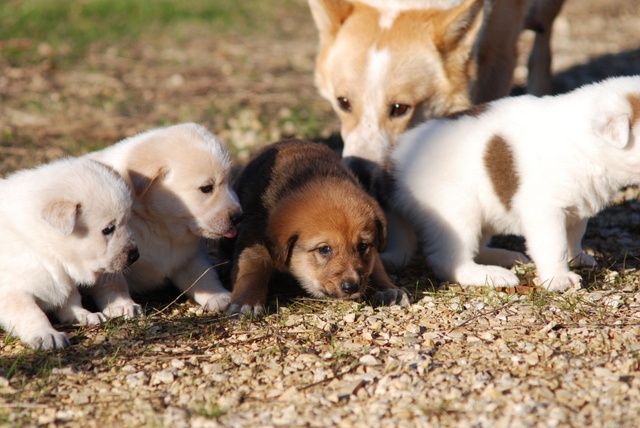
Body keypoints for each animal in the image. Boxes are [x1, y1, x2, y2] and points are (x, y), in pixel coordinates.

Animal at [0, 156, 138, 348]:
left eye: (127, 221)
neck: (45, 247)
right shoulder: (12, 291)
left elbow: (71, 299)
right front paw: (46, 334)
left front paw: (85, 315)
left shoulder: (64, 276)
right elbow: (31, 313)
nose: (135, 256)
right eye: (108, 229)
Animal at [86, 123, 241, 314]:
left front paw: (218, 295)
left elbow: (202, 275)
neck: (158, 226)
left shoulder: (188, 257)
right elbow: (114, 282)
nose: (239, 217)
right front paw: (122, 305)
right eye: (206, 188)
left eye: (230, 182)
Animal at [230, 140, 410, 314]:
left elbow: (375, 266)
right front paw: (246, 303)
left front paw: (388, 288)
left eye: (363, 246)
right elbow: (251, 273)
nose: (352, 287)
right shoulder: (253, 244)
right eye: (324, 249)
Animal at [388, 76, 640, 290]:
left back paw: (505, 257)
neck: (586, 145)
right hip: (457, 212)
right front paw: (559, 278)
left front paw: (577, 257)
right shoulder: (544, 209)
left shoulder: (578, 205)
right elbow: (554, 244)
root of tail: (393, 166)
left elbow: (575, 235)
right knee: (449, 261)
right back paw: (492, 275)